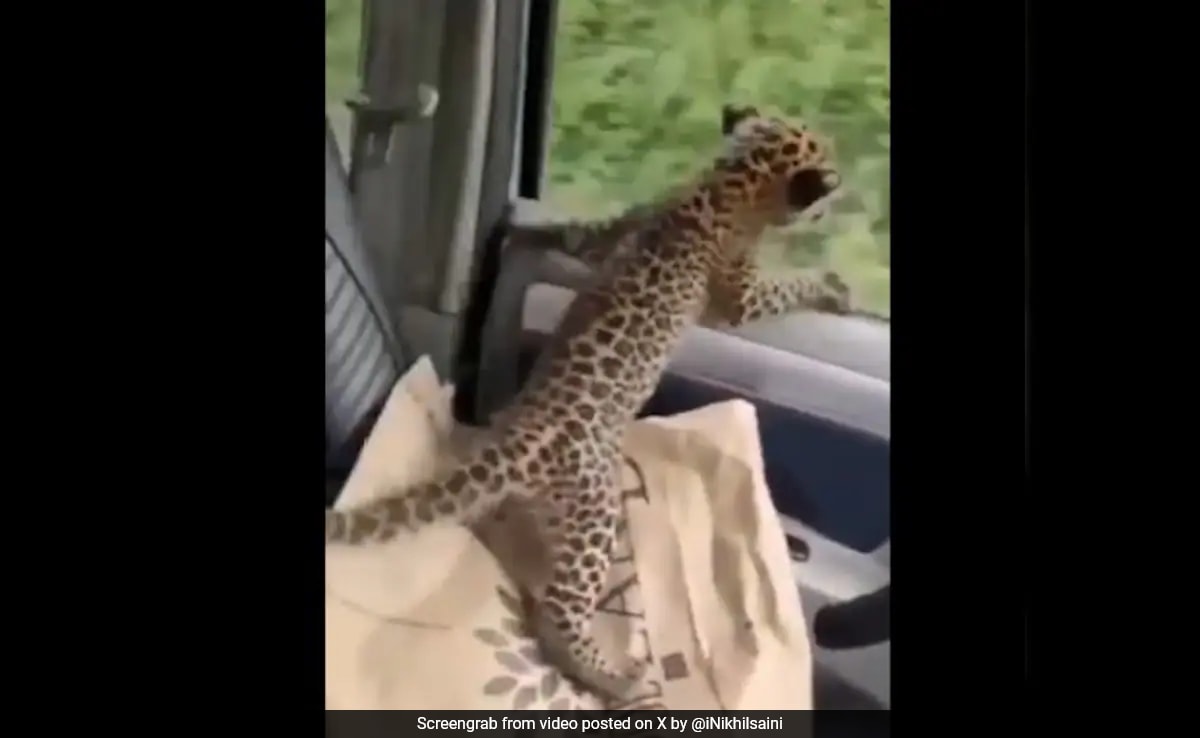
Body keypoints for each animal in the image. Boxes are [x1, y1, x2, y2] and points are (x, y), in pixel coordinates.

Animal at [325, 103, 854, 703]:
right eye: (826, 170)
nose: (836, 193)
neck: (726, 182)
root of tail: (518, 441)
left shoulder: (611, 232)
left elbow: (576, 235)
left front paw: (527, 230)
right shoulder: (742, 292)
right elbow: (782, 291)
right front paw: (831, 286)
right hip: (596, 517)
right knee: (557, 615)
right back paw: (614, 679)